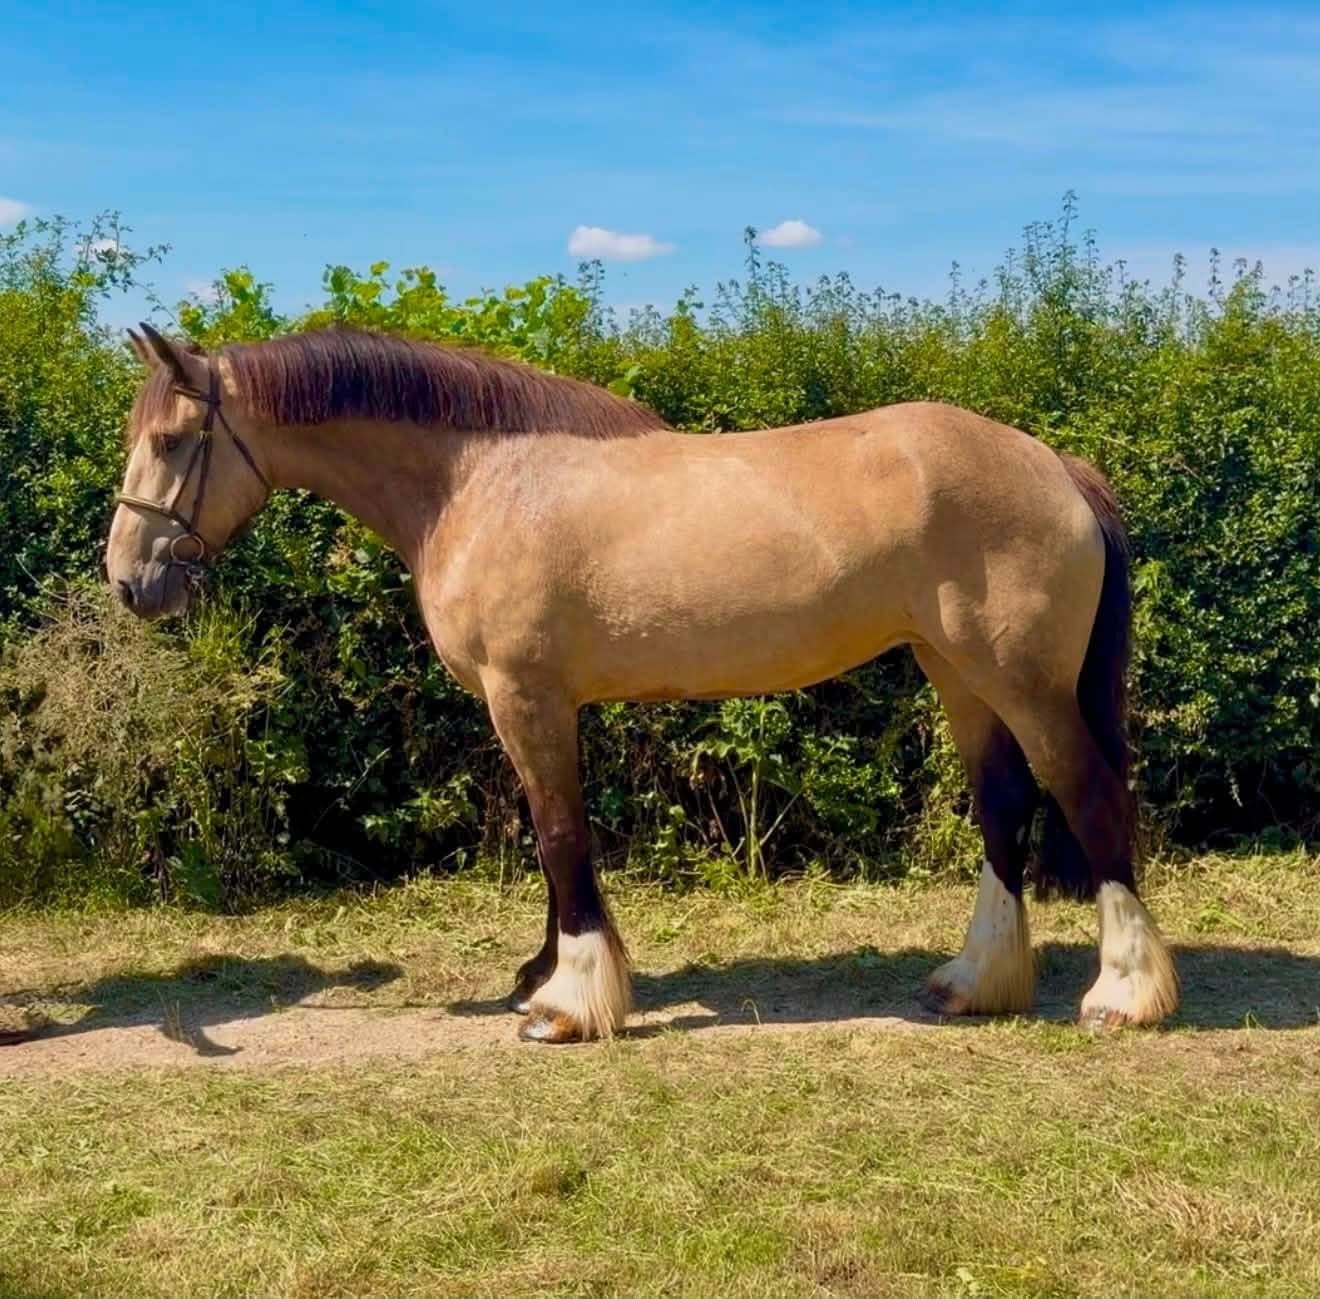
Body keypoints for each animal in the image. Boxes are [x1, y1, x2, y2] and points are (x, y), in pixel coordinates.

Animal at [105, 322, 1178, 1043]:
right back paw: (972, 981)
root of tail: (1054, 465)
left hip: (1022, 681)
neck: (477, 481)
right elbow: (552, 843)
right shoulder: (531, 706)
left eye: (169, 442)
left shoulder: (528, 697)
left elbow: (560, 837)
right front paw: (542, 973)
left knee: (1089, 794)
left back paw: (1124, 994)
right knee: (1004, 804)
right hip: (957, 671)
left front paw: (567, 1003)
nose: (128, 579)